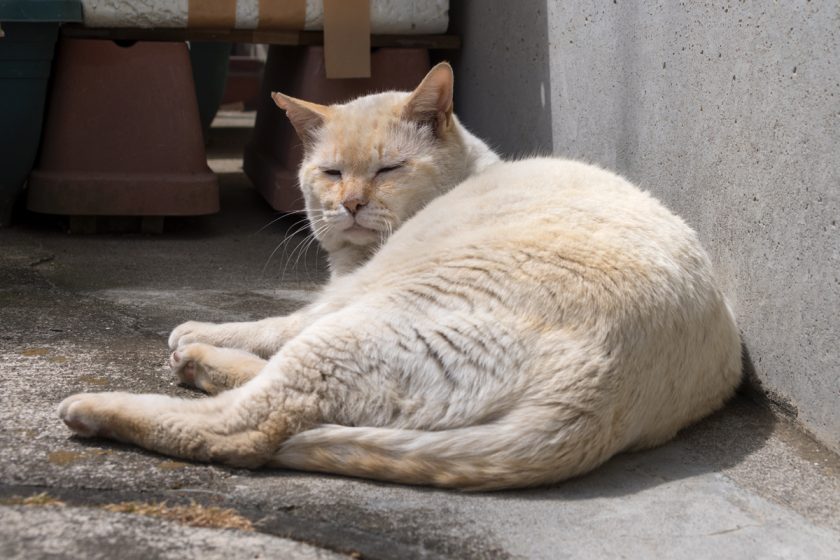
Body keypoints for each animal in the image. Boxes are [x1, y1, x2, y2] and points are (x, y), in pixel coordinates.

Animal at [59, 62, 740, 490]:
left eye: (388, 170)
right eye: (332, 174)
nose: (352, 204)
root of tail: (598, 395)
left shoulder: (341, 296)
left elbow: (276, 321)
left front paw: (201, 330)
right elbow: (279, 324)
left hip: (352, 333)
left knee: (248, 427)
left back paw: (116, 397)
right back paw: (199, 366)